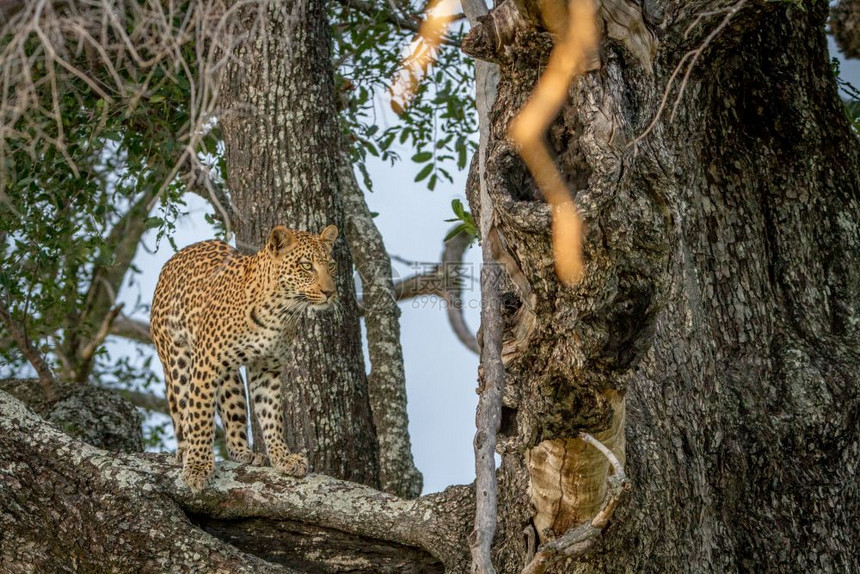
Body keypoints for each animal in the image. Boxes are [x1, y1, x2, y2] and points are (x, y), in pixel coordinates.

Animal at [151, 224, 340, 490]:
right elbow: (200, 416)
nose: (329, 292)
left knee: (234, 412)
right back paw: (185, 450)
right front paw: (198, 466)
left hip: (229, 378)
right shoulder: (206, 362)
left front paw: (283, 458)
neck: (280, 312)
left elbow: (271, 414)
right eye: (306, 265)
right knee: (183, 406)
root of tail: (173, 259)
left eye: (331, 265)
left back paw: (243, 452)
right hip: (176, 357)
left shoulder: (266, 367)